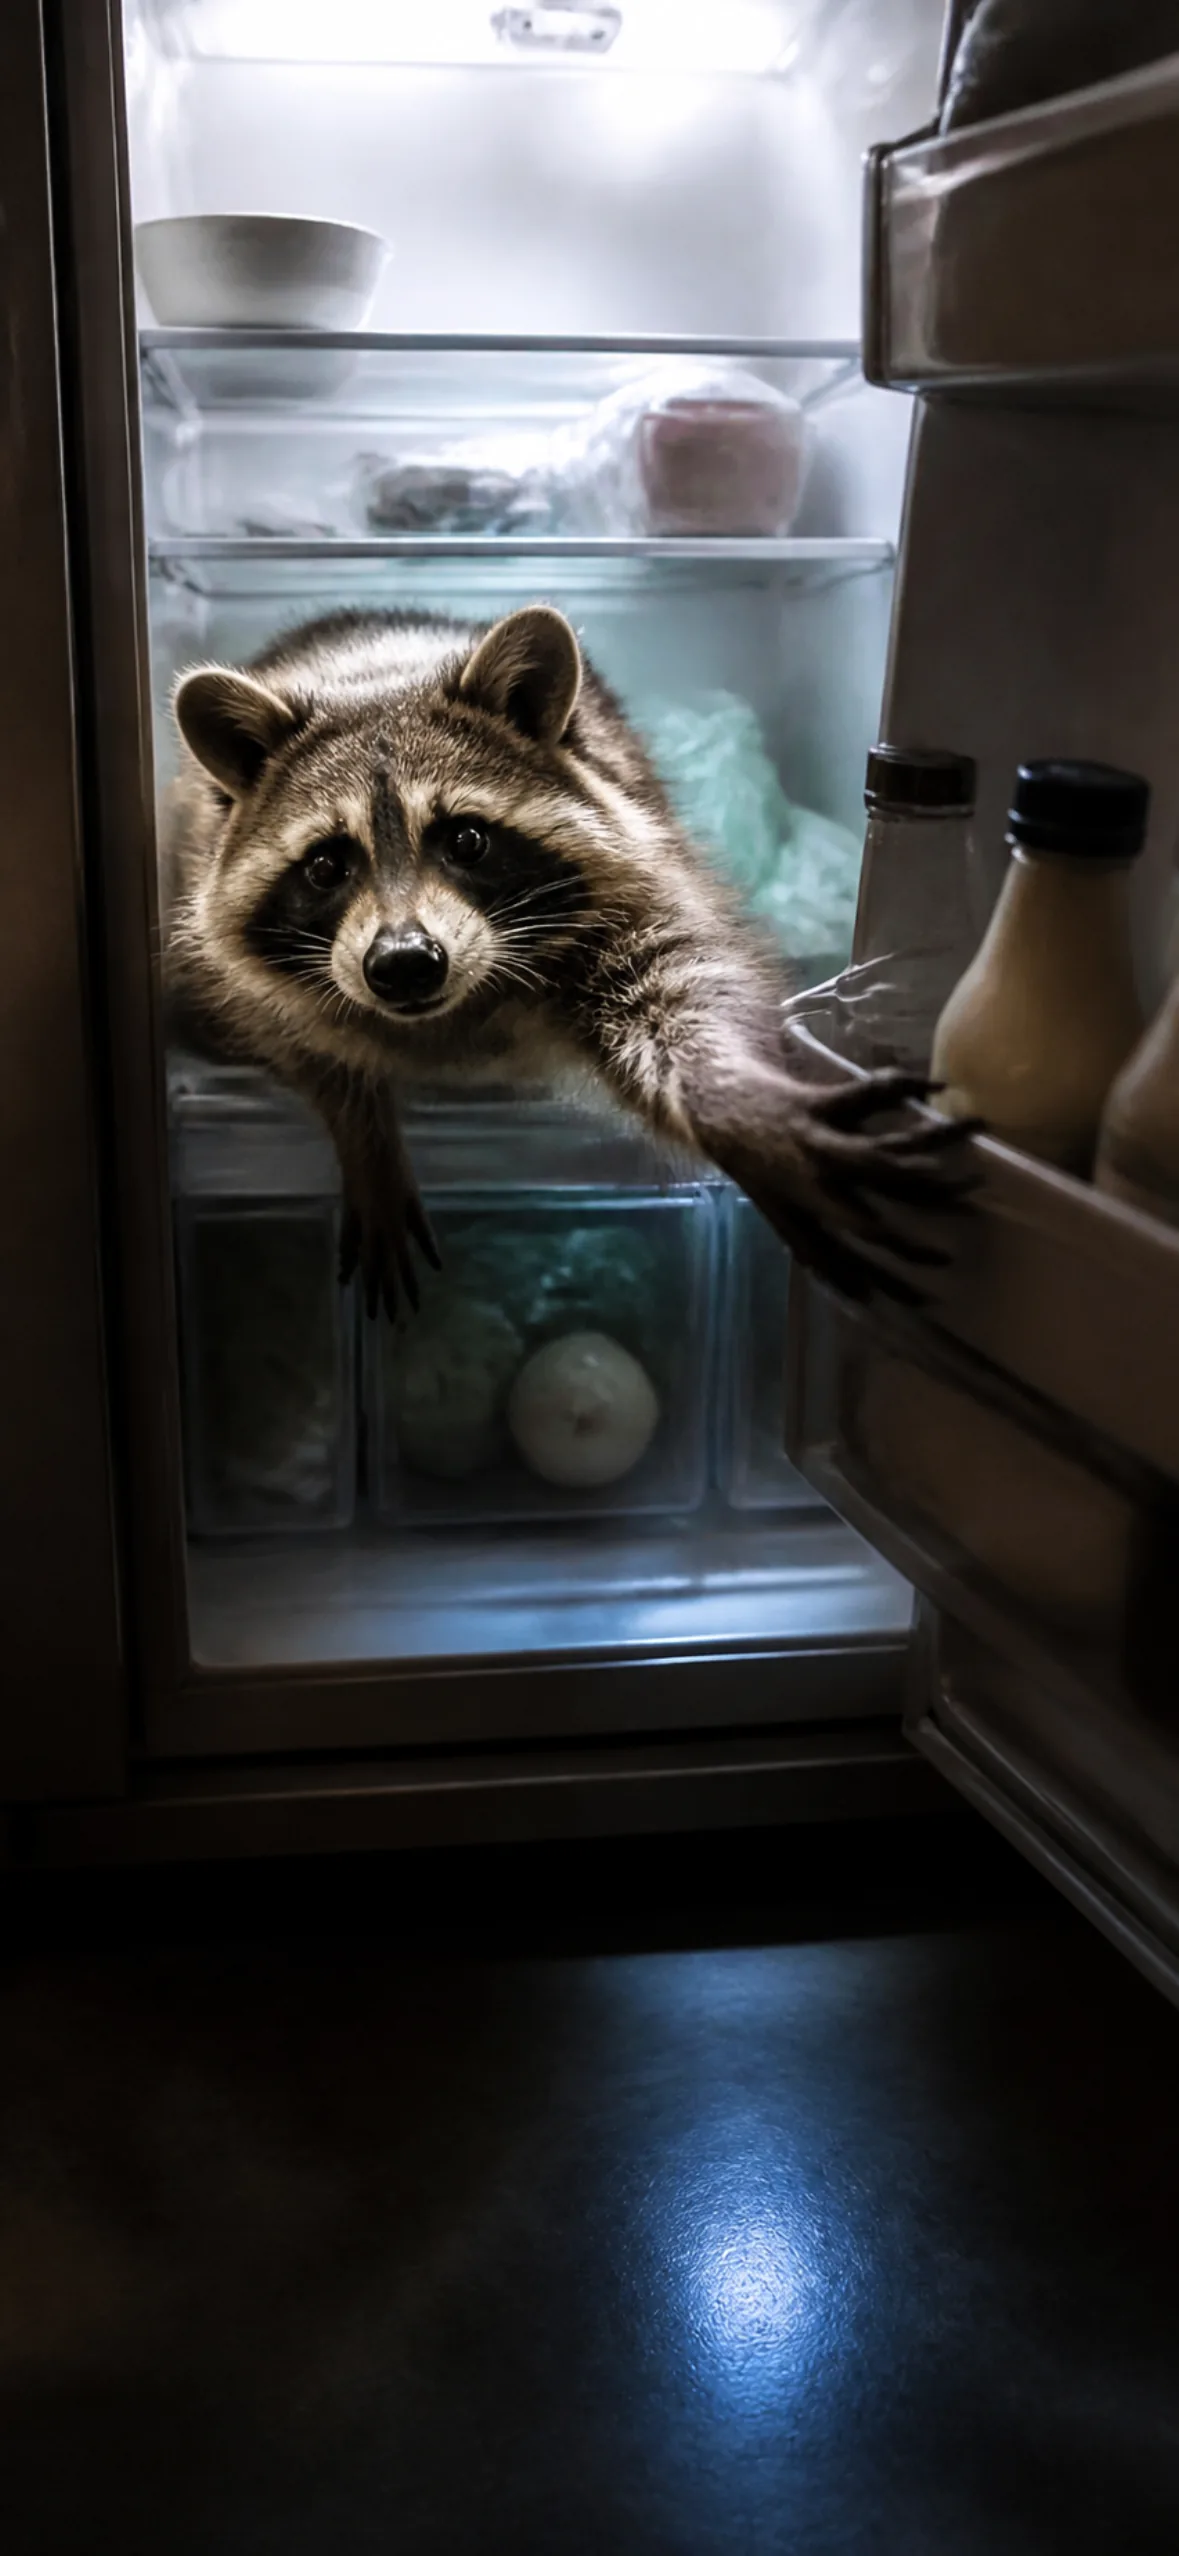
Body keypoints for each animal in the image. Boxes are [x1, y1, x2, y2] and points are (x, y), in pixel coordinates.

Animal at [166, 604, 969, 1313]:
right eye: (327, 866)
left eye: (466, 840)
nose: (404, 962)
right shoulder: (218, 970)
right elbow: (282, 1036)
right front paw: (362, 1129)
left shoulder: (634, 881)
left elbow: (682, 990)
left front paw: (739, 1101)